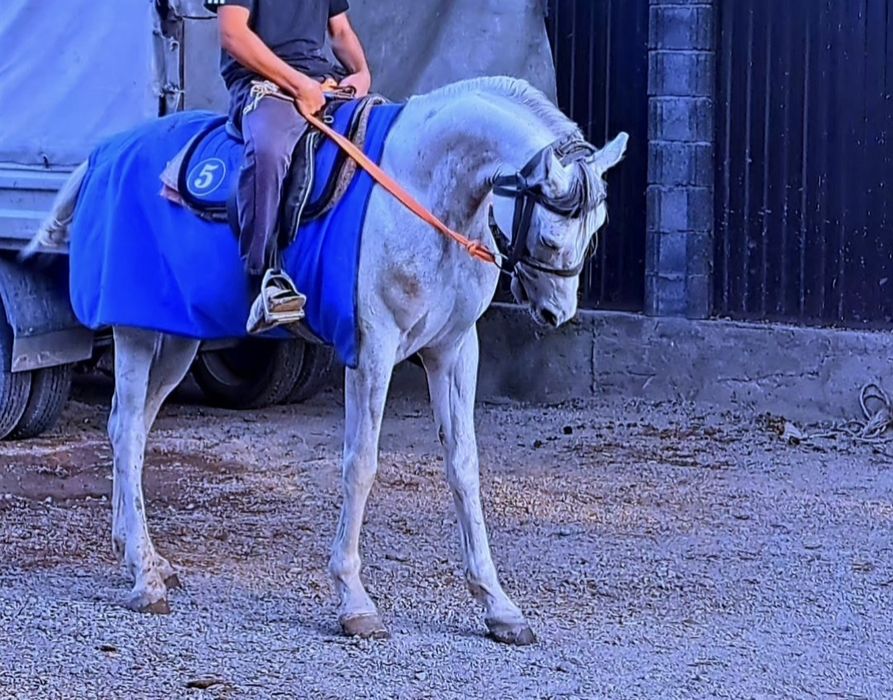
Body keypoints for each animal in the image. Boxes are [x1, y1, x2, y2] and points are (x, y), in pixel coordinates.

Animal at [29, 76, 627, 645]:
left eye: (597, 231)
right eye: (551, 238)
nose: (555, 313)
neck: (424, 187)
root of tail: (107, 151)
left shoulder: (454, 351)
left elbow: (464, 468)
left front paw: (498, 606)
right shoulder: (373, 350)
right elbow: (360, 466)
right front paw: (354, 601)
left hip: (178, 335)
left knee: (130, 427)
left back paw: (143, 556)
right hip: (135, 329)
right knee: (128, 429)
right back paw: (142, 577)